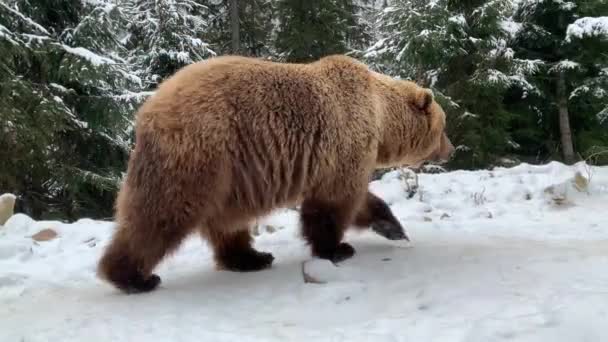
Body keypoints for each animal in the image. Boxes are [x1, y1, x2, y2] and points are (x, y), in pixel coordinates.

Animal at [97, 54, 454, 292]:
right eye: (443, 126)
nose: (450, 149)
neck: (381, 118)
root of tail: (148, 111)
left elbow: (358, 199)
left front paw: (393, 227)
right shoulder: (344, 144)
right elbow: (334, 202)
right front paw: (338, 248)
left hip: (230, 176)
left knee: (226, 221)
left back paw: (251, 257)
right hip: (201, 153)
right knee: (161, 213)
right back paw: (132, 276)